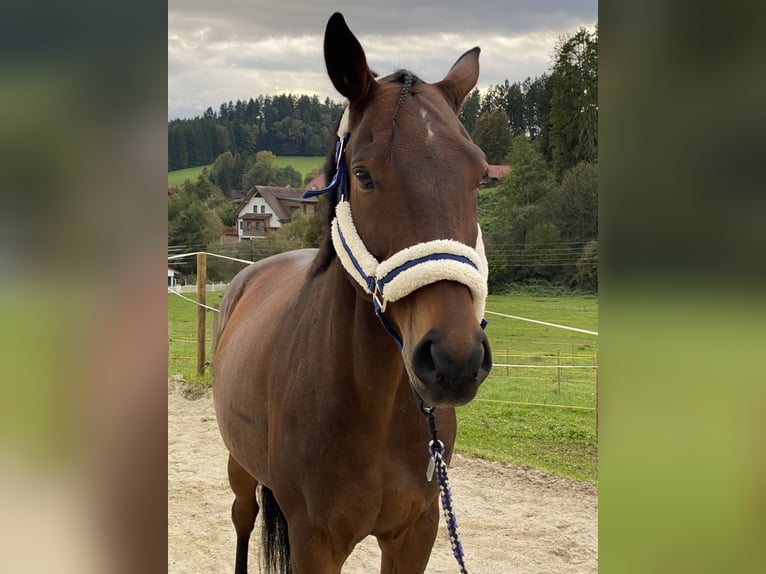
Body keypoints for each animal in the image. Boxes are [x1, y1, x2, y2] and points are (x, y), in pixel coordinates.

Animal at [213, 12, 492, 574]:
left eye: (478, 175)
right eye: (363, 175)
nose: (454, 358)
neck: (376, 408)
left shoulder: (416, 532)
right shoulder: (315, 542)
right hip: (239, 466)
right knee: (242, 518)